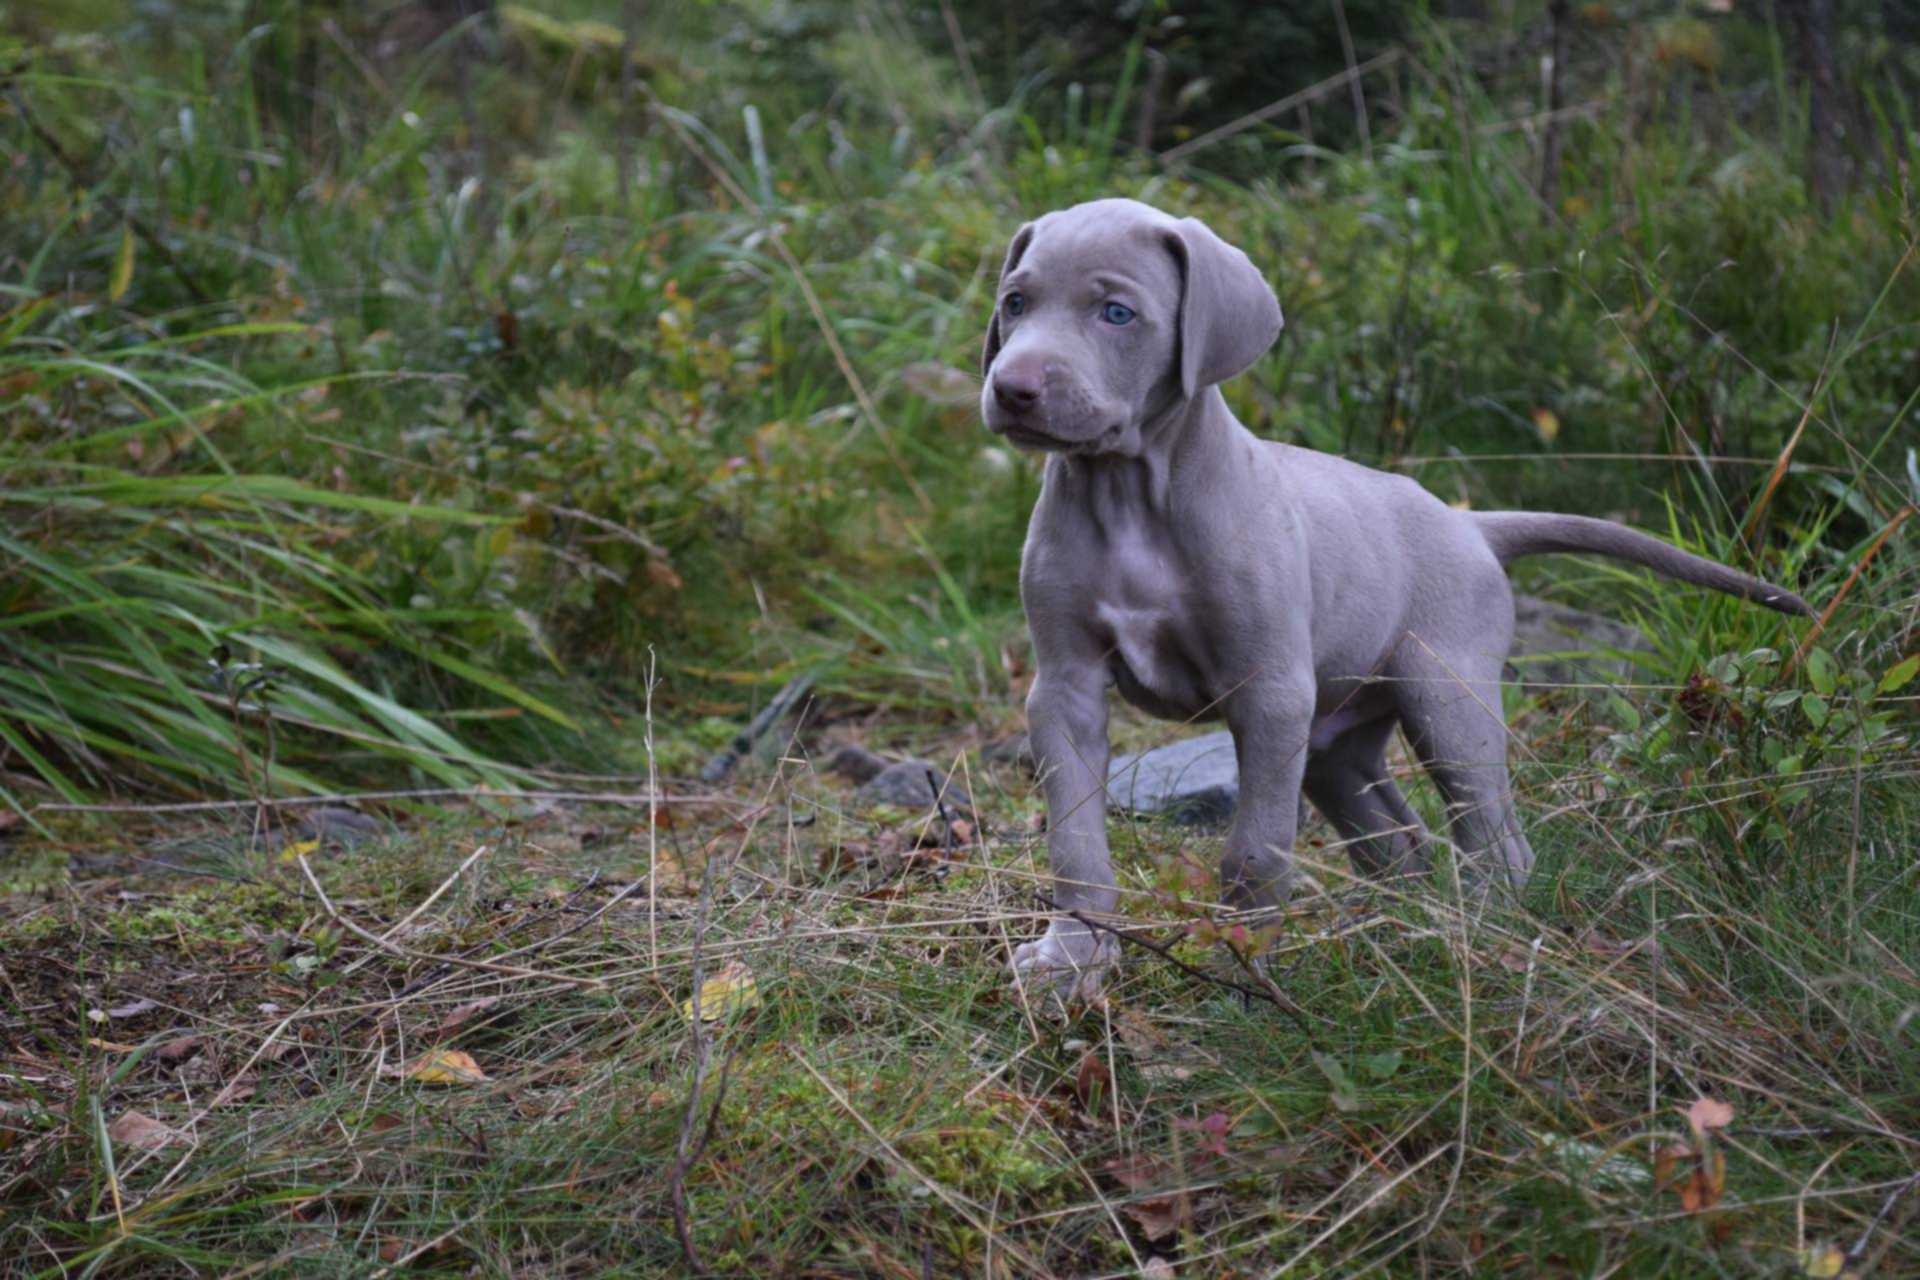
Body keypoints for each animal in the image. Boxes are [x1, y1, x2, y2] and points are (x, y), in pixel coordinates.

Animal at [983, 197, 1804, 997]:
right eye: (1016, 302)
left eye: (1117, 313)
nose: (1011, 389)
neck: (1130, 496)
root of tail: (1471, 524)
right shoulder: (1065, 690)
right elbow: (1075, 844)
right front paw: (1071, 962)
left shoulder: (1270, 692)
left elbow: (1255, 850)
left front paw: (1242, 971)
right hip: (1334, 741)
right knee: (1400, 841)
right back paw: (1395, 935)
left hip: (1443, 696)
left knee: (1495, 837)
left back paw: (1477, 939)